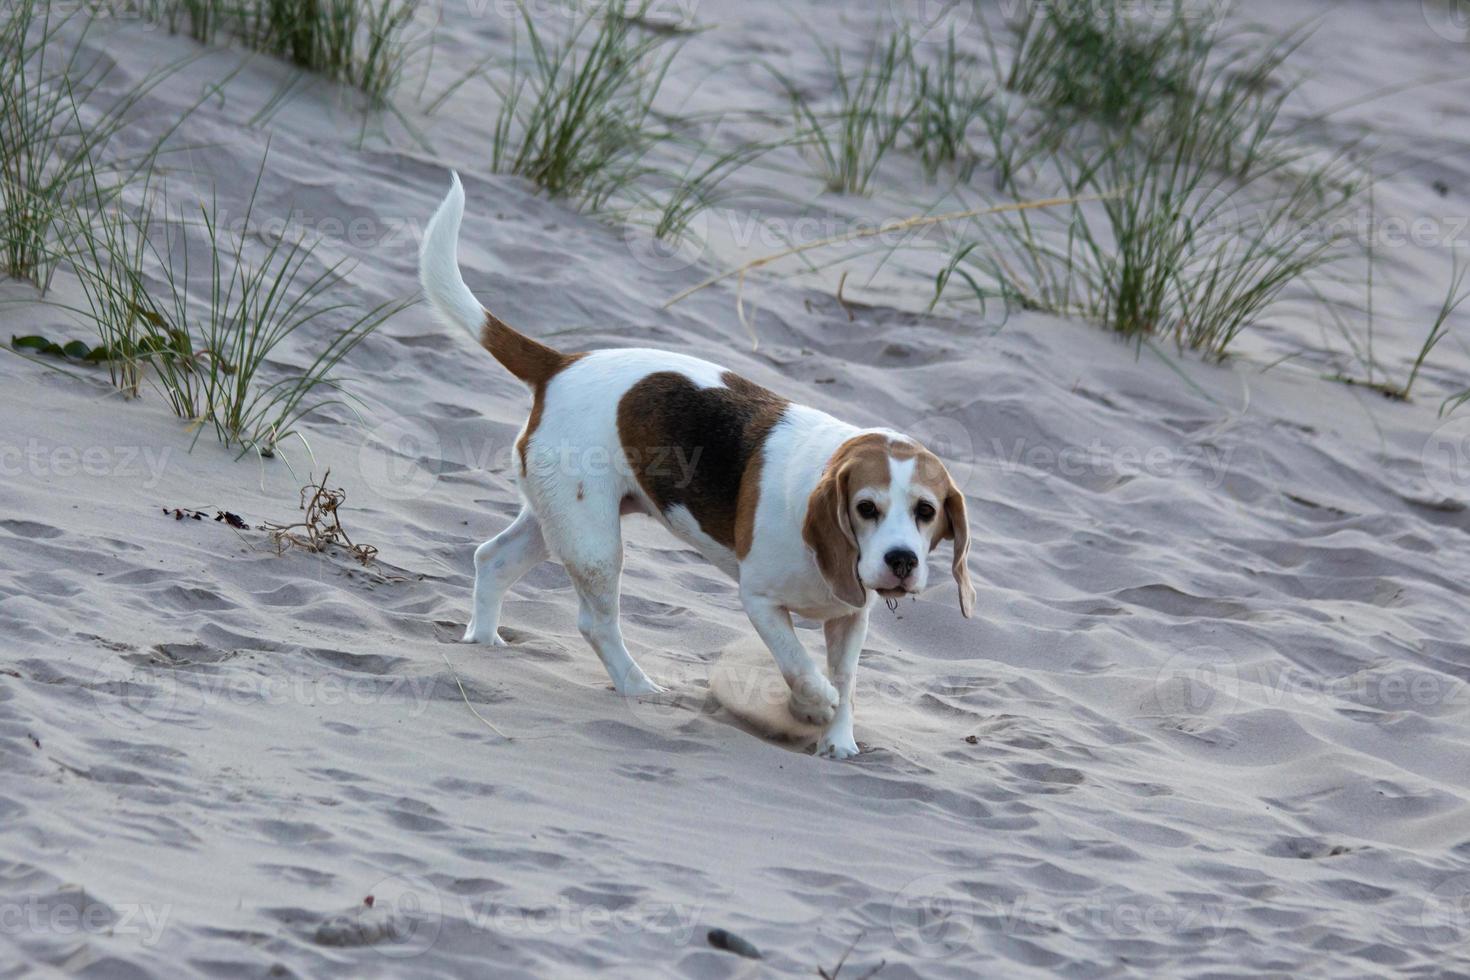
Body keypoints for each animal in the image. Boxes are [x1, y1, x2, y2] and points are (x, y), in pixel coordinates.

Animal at [420, 174, 970, 758]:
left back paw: (483, 641)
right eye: (866, 507)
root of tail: (563, 364)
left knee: (491, 559)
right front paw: (813, 705)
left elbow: (846, 680)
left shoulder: (850, 617)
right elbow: (800, 667)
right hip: (594, 544)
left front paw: (838, 738)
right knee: (594, 622)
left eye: (926, 511)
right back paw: (637, 686)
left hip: (559, 521)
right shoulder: (760, 601)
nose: (901, 561)